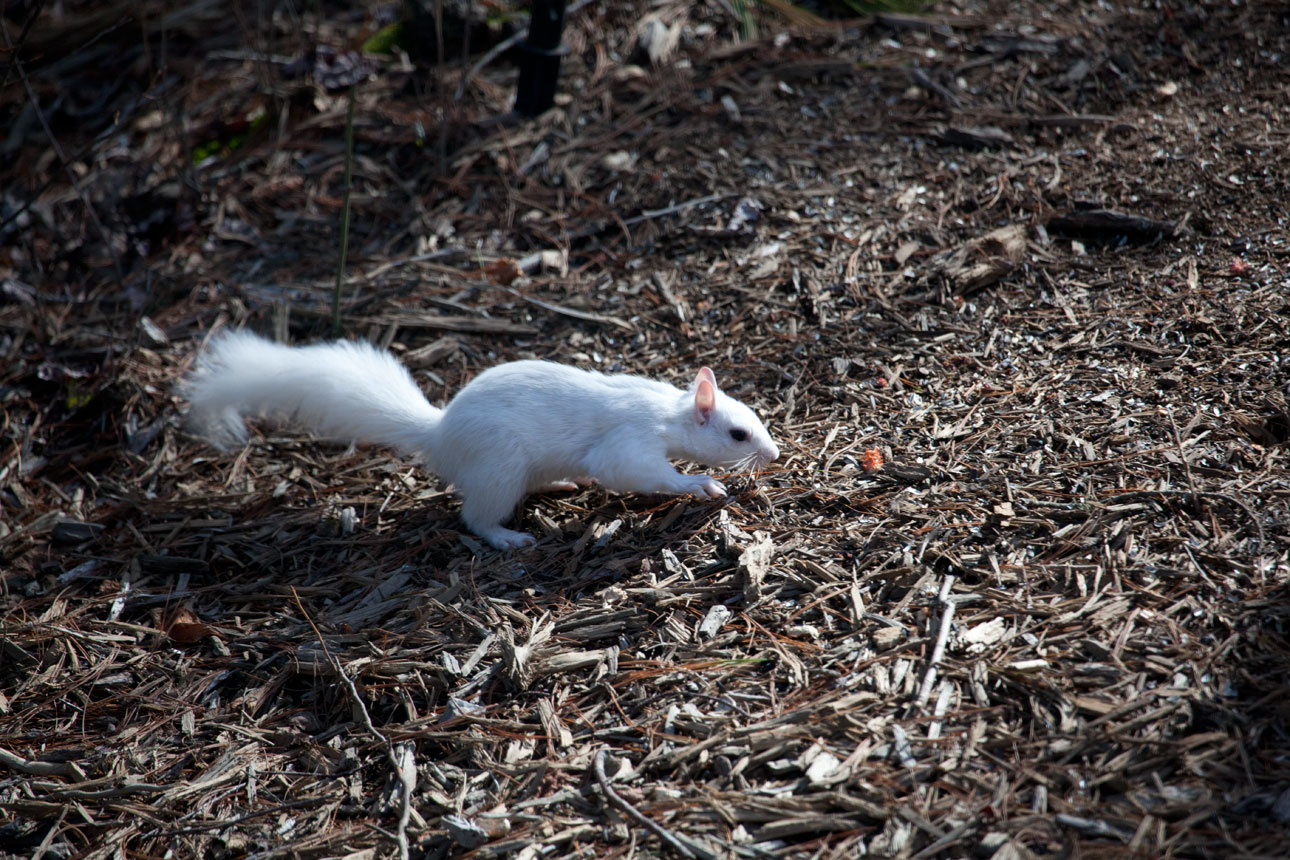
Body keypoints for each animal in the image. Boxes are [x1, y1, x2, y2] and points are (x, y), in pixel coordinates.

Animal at [183, 331, 780, 549]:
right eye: (737, 433)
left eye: (756, 416)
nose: (774, 453)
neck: (667, 413)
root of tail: (440, 434)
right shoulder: (628, 442)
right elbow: (639, 472)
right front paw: (702, 485)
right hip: (499, 469)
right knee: (475, 517)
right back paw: (508, 539)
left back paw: (562, 485)